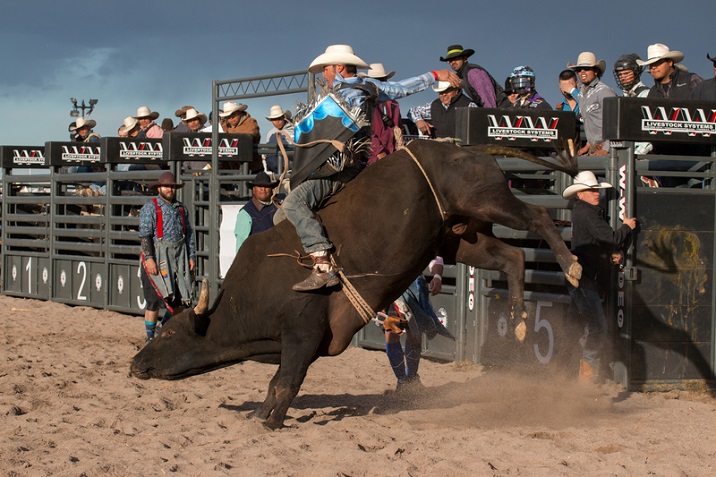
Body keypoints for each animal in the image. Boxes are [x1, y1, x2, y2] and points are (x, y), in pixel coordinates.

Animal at [130, 140, 580, 430]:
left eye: (169, 333)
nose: (136, 365)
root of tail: (467, 149)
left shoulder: (302, 333)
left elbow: (285, 381)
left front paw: (267, 420)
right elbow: (282, 382)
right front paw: (265, 414)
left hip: (486, 200)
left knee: (539, 218)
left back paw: (572, 268)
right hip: (459, 238)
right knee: (513, 257)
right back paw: (519, 320)